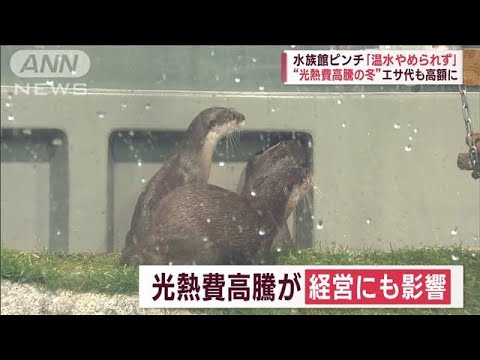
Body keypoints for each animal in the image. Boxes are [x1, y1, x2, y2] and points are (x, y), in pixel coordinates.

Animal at [122, 167, 314, 268]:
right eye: (303, 175)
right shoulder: (262, 239)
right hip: (203, 246)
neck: (271, 209)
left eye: (300, 167)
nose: (311, 171)